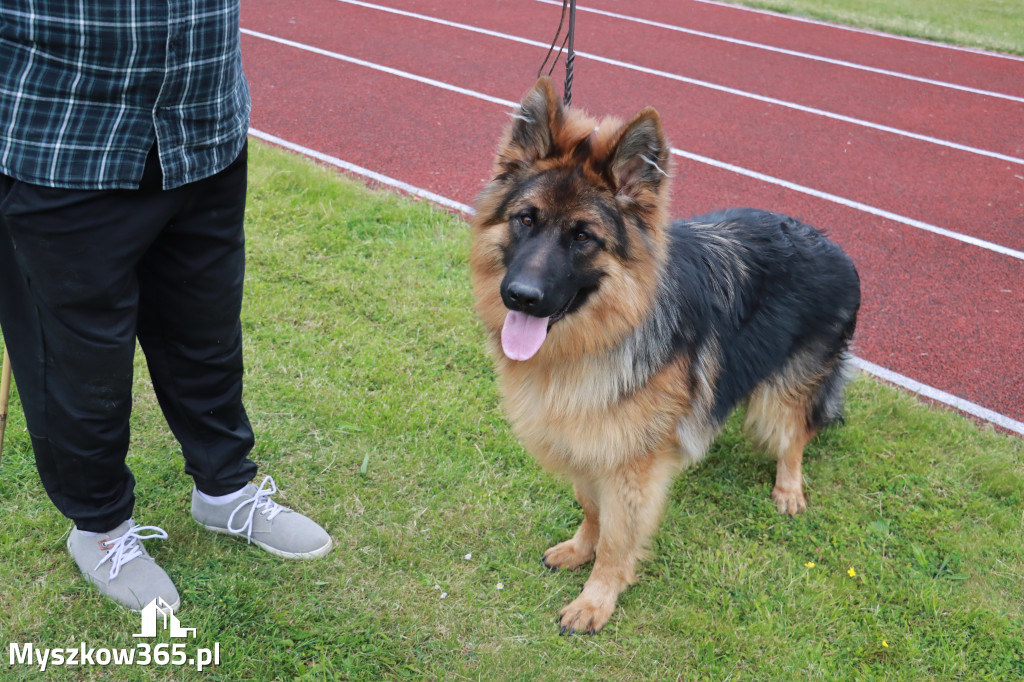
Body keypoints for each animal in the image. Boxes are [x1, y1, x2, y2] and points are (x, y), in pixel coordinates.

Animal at [468, 78, 860, 630]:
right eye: (526, 220)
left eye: (583, 236)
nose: (520, 297)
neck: (602, 336)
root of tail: (830, 245)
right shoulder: (589, 442)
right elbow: (591, 509)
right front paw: (580, 550)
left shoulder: (631, 466)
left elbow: (617, 537)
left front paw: (597, 599)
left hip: (782, 393)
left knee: (794, 435)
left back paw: (788, 489)